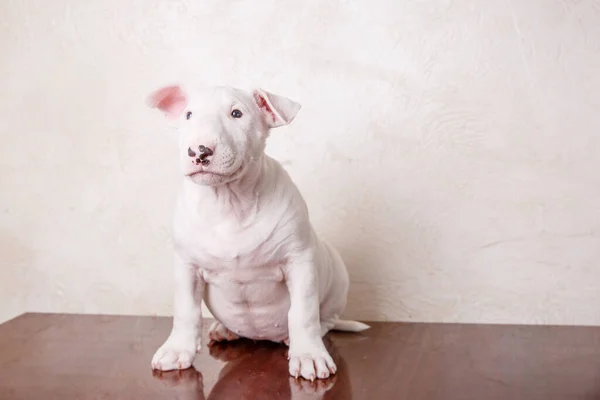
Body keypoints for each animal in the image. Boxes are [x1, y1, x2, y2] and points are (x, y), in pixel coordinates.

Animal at [147, 85, 368, 382]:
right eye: (188, 115)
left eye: (237, 114)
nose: (199, 151)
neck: (228, 202)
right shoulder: (187, 266)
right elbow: (185, 311)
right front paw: (176, 350)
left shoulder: (299, 260)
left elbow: (303, 312)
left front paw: (309, 356)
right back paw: (224, 329)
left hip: (337, 278)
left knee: (326, 320)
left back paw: (293, 339)